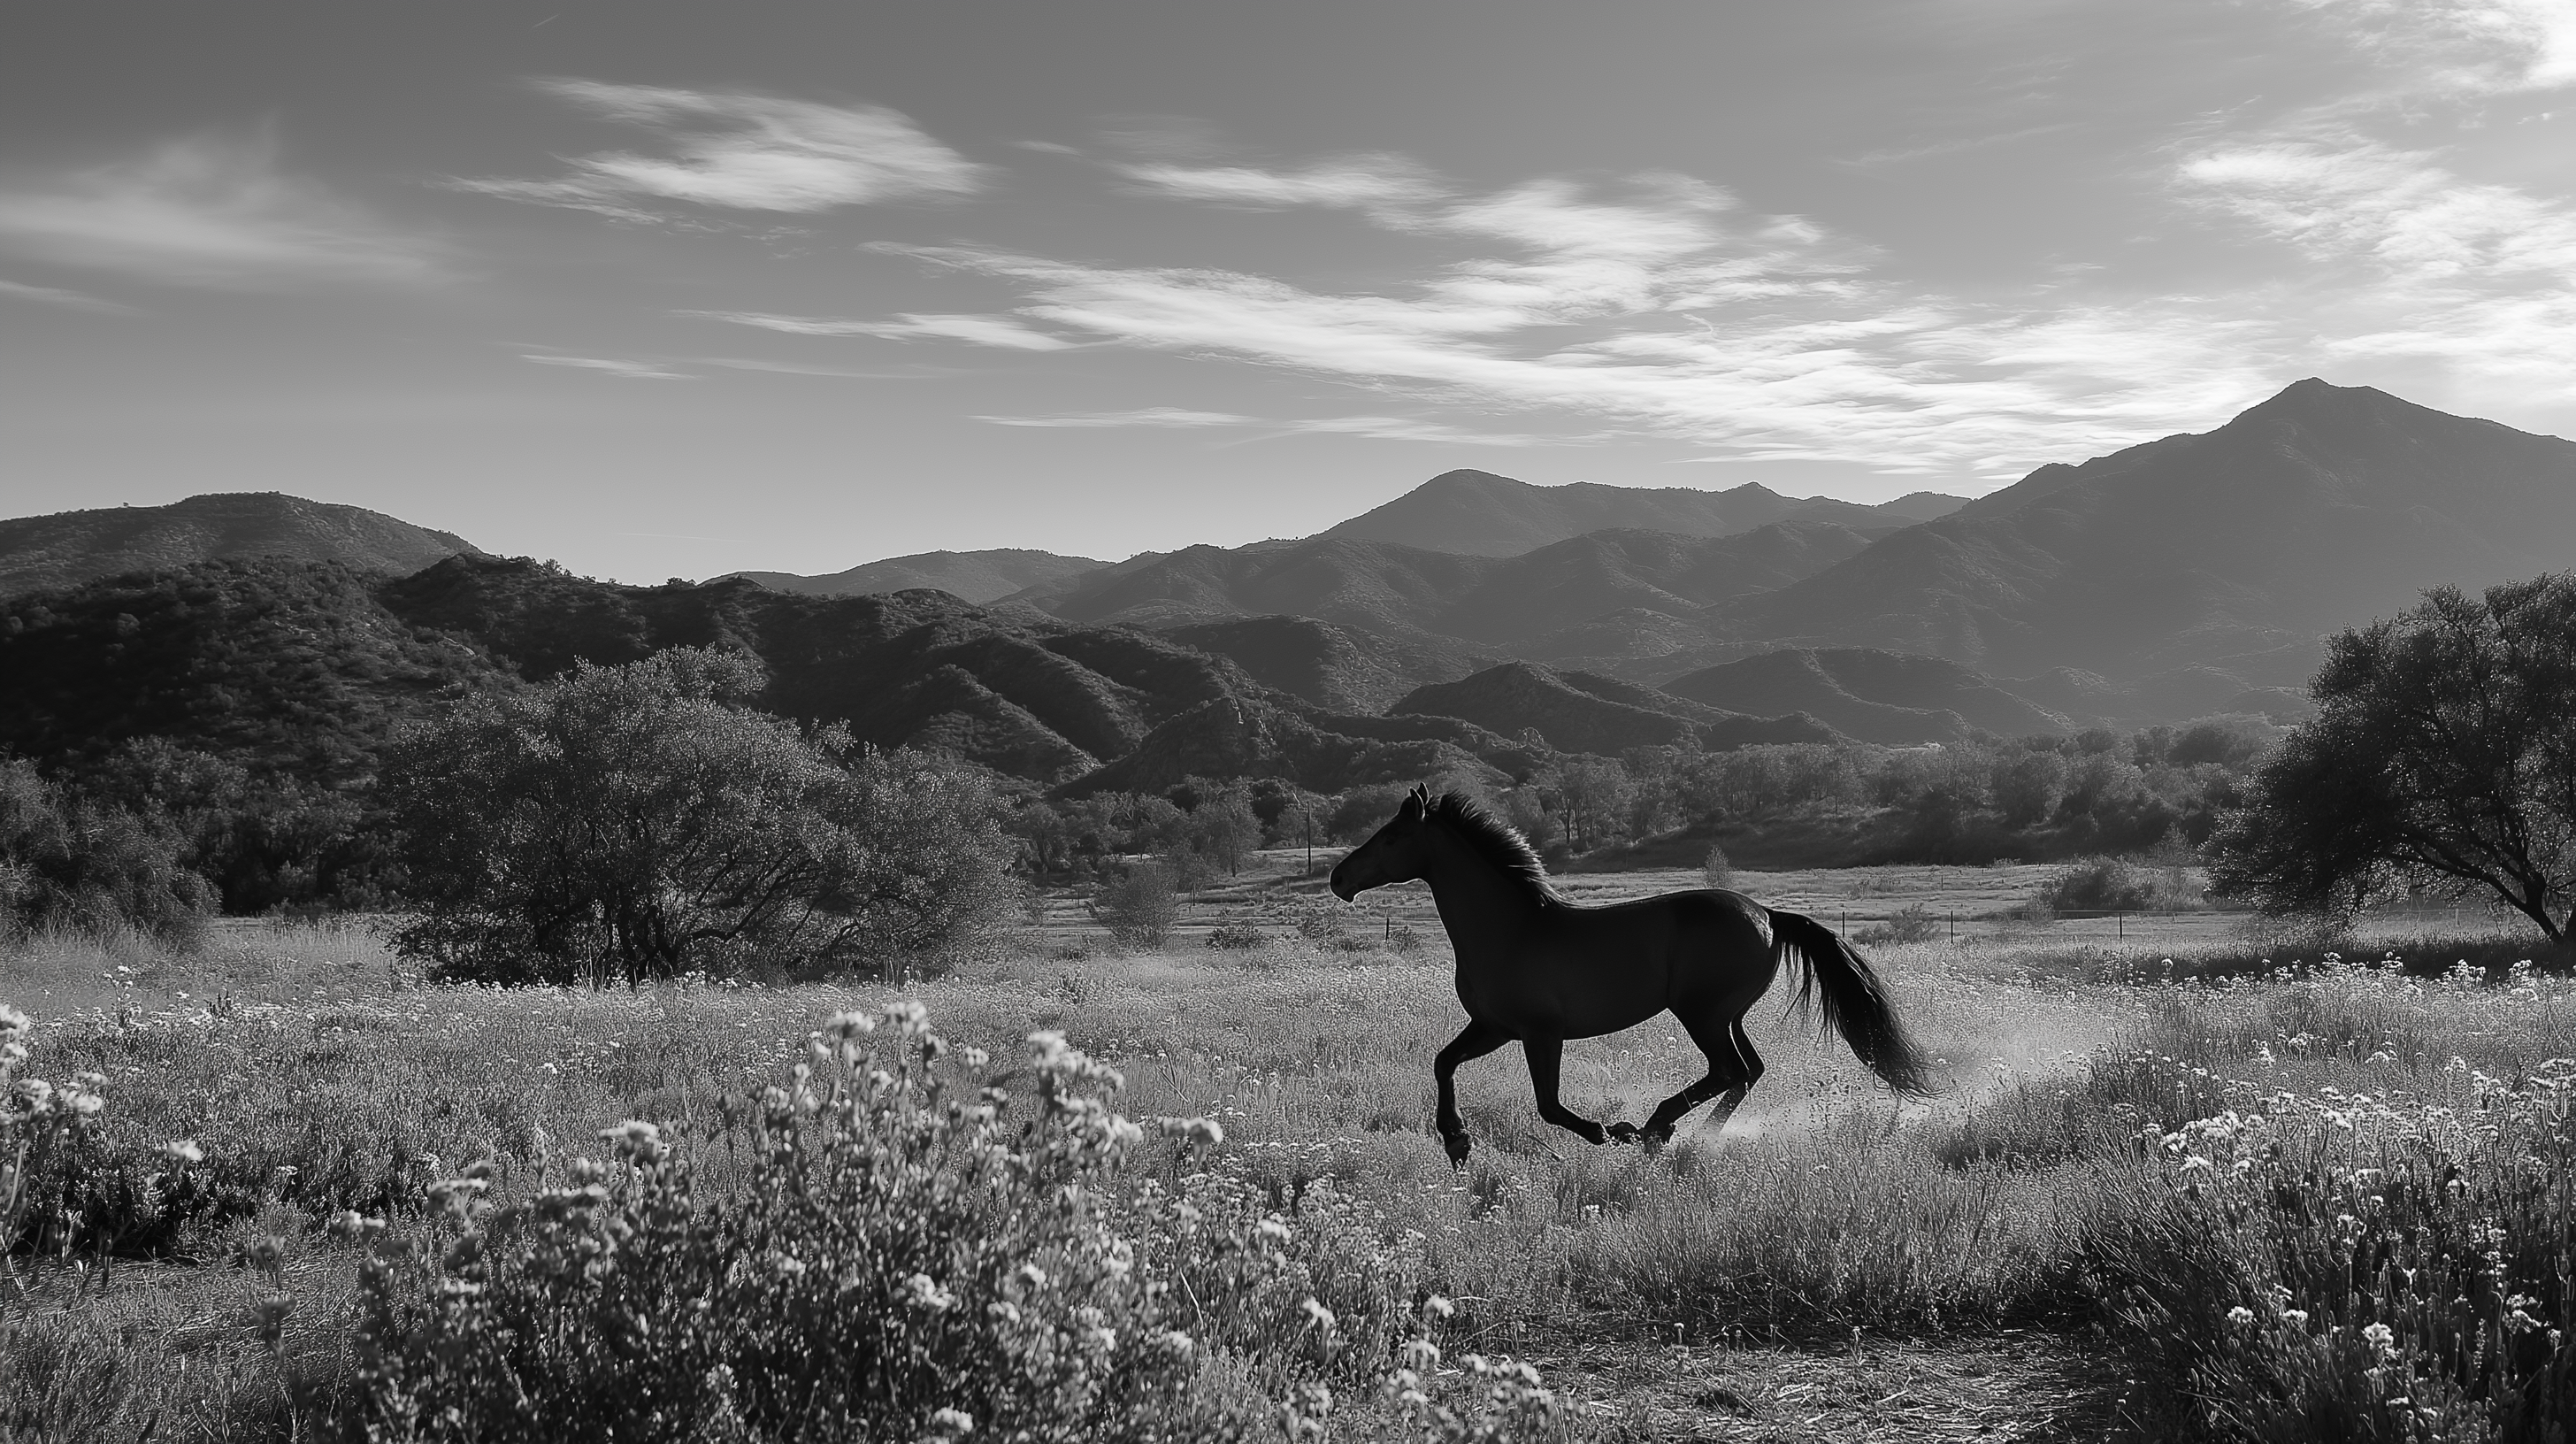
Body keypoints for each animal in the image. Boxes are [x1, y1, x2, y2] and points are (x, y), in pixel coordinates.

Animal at [1330, 785, 1938, 1166]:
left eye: (1390, 838)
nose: (1339, 879)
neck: (1511, 929)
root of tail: (1767, 914)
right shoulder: (1493, 1027)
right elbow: (1443, 1062)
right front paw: (1456, 1141)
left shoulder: (1539, 1033)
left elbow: (1549, 1105)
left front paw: (1608, 1130)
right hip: (1726, 1014)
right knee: (1748, 1071)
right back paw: (1691, 1135)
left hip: (1701, 1013)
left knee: (1728, 1070)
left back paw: (1654, 1128)